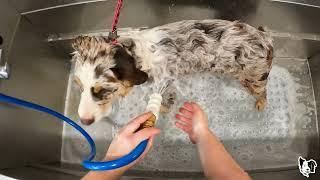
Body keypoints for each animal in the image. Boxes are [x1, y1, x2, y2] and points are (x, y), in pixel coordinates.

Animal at [72, 19, 272, 125]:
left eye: (103, 90)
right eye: (79, 86)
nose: (83, 121)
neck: (137, 56)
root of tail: (265, 37)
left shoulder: (164, 84)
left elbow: (165, 103)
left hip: (253, 79)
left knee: (263, 92)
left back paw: (261, 104)